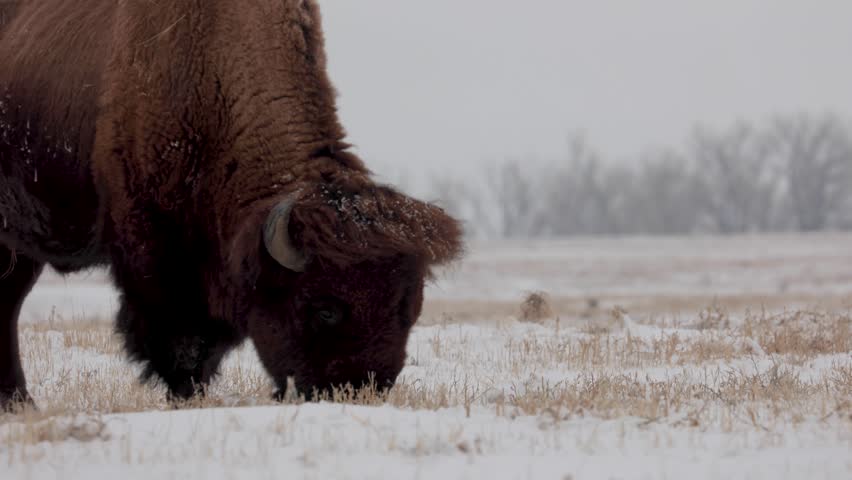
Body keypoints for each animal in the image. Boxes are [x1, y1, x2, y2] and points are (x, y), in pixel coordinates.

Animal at [0, 0, 462, 409]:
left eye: (408, 307)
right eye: (325, 310)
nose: (360, 389)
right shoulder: (154, 251)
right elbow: (182, 342)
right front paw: (186, 396)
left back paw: (19, 404)